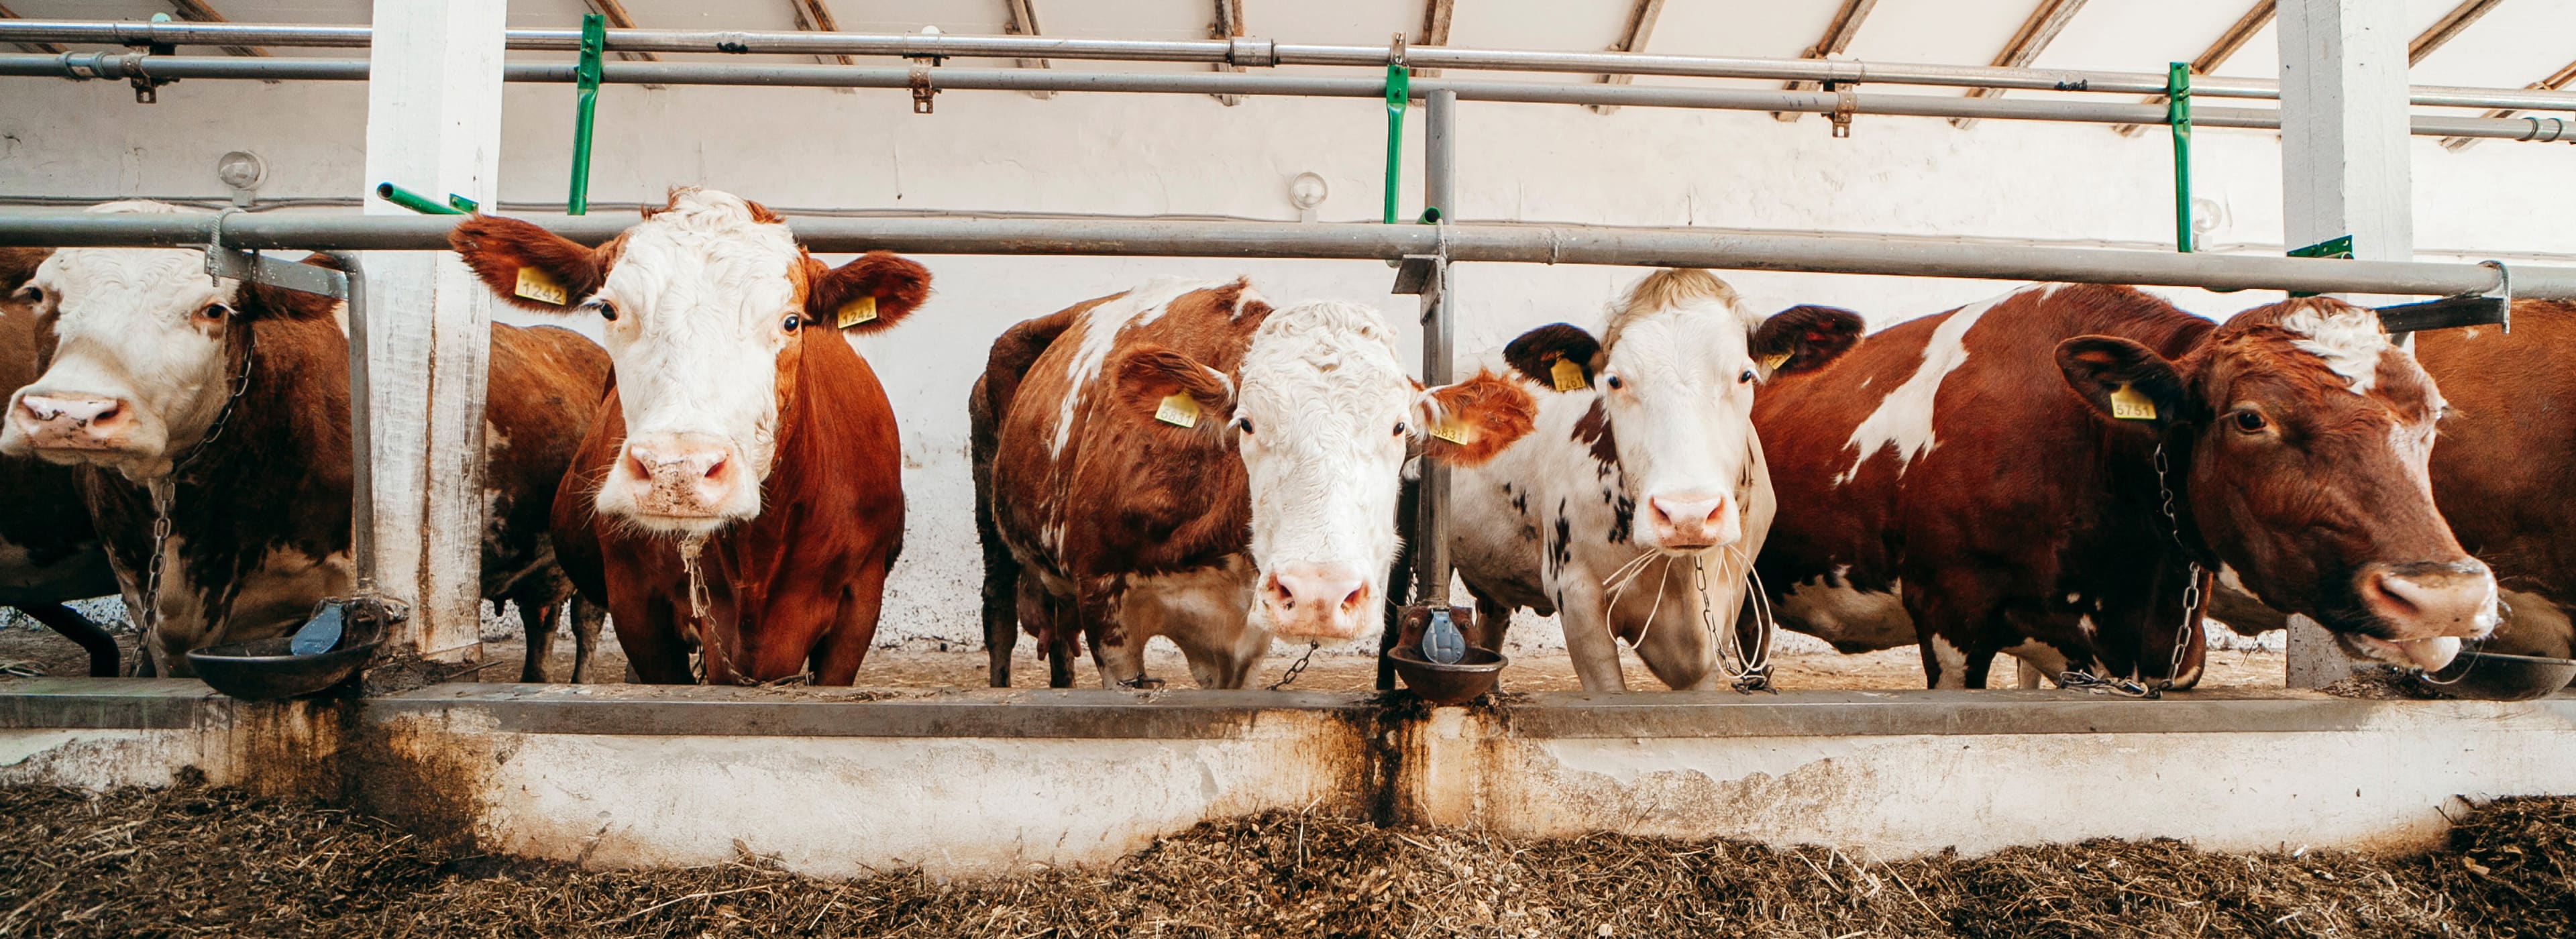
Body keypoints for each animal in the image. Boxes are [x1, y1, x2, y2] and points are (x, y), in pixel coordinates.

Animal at [451, 188, 930, 686]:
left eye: (791, 321)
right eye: (609, 309)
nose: (675, 471)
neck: (754, 554)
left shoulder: (858, 606)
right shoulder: (638, 607)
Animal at [974, 278, 1536, 689]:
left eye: (1400, 428)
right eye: (1246, 423)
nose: (1318, 595)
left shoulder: (1242, 645)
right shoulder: (1105, 602)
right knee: (998, 617)